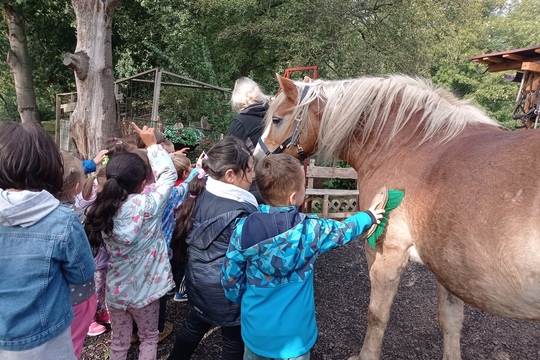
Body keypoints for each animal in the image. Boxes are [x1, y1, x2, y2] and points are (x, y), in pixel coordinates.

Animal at [255, 74, 540, 358]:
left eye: (277, 119)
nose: (257, 161)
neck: (410, 145)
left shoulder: (388, 252)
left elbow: (377, 315)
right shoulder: (450, 269)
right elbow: (451, 321)